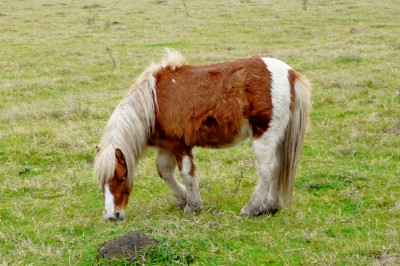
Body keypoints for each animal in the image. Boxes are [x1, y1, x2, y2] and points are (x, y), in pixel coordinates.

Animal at [94, 49, 312, 220]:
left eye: (122, 179)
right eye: (101, 182)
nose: (112, 216)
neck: (153, 103)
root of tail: (290, 73)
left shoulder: (180, 145)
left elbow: (186, 174)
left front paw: (192, 207)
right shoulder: (166, 146)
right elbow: (164, 172)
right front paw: (183, 199)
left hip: (264, 136)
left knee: (267, 169)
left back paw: (251, 209)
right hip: (277, 138)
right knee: (279, 167)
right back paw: (270, 207)